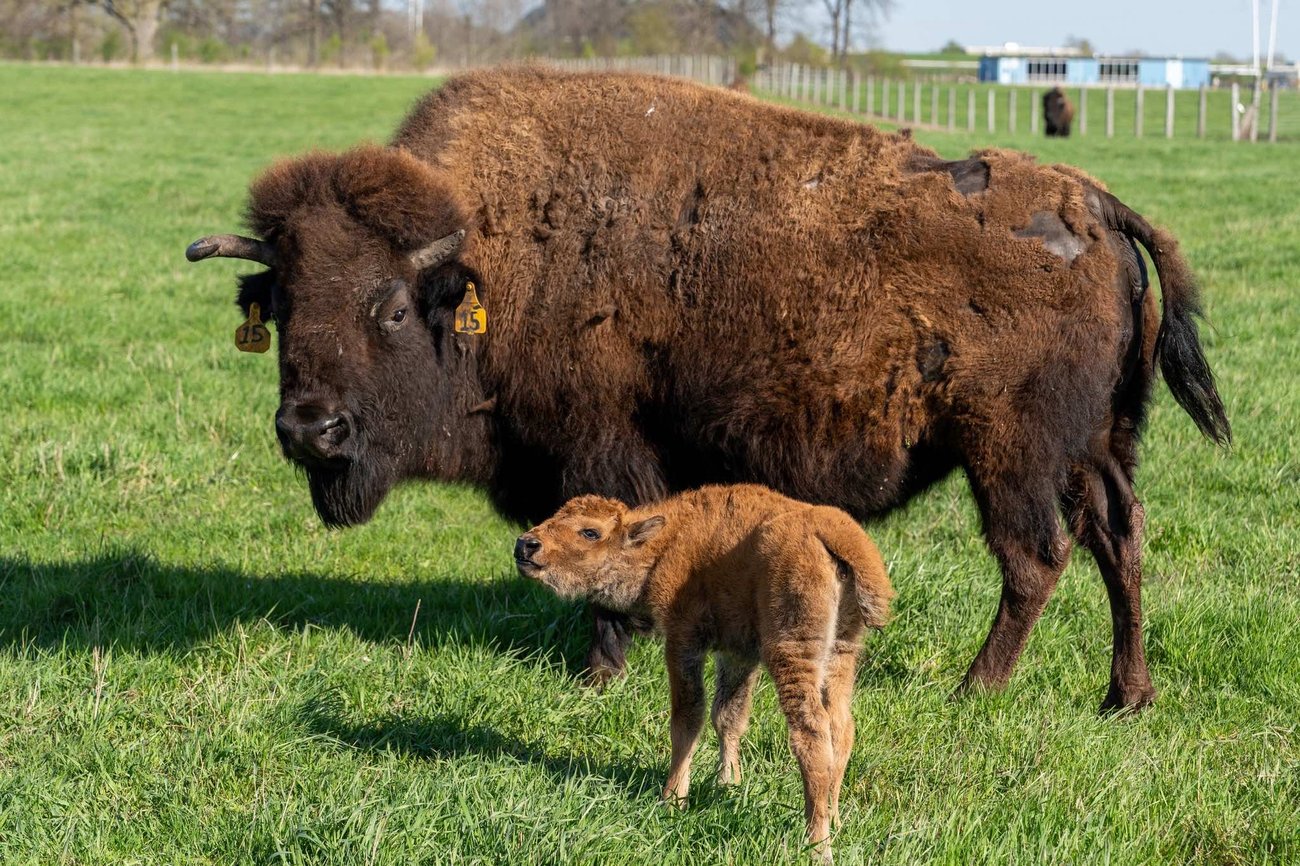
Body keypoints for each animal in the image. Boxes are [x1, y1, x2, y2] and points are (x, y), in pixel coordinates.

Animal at [186, 66, 1229, 712]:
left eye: (393, 308)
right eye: (280, 304)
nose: (310, 429)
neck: (491, 261)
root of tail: (1094, 204)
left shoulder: (601, 450)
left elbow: (605, 559)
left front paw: (599, 677)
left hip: (1009, 453)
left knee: (1037, 556)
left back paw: (974, 690)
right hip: (1098, 444)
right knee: (1119, 538)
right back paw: (1125, 698)